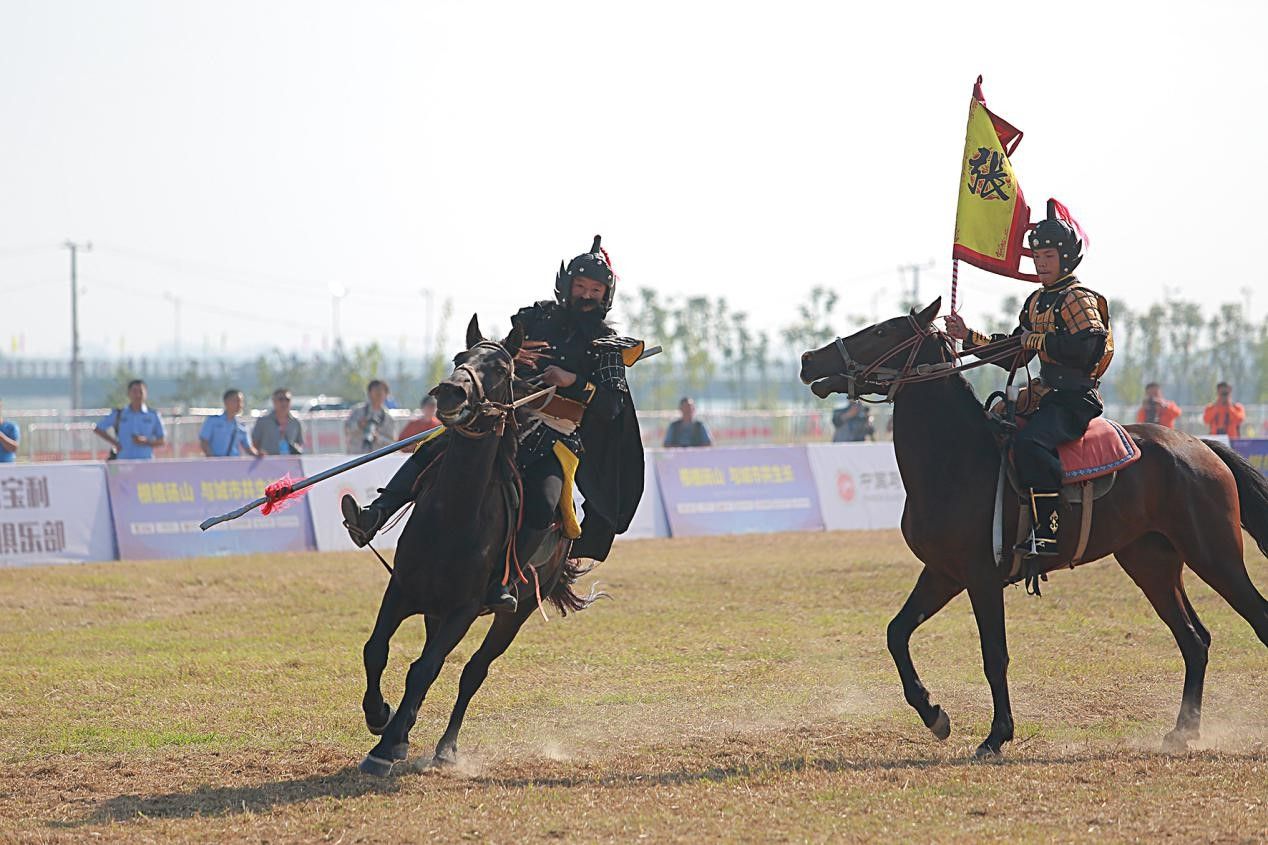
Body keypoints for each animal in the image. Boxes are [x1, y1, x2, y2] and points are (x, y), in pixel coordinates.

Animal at [357, 315, 593, 776]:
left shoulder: (464, 610)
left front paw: (387, 747)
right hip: (434, 611)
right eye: (459, 357)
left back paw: (446, 748)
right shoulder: (403, 590)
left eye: (501, 369)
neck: (454, 516)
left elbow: (425, 669)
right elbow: (376, 650)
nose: (450, 391)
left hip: (513, 615)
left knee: (473, 672)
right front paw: (380, 717)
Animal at [801, 298, 1268, 756]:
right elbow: (897, 633)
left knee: (1254, 619)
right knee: (1194, 640)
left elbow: (995, 656)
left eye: (881, 331)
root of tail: (1199, 445)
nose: (808, 360)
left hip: (1215, 556)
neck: (957, 460)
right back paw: (1182, 731)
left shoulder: (982, 578)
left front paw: (996, 735)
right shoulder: (944, 574)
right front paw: (934, 715)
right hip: (1151, 564)